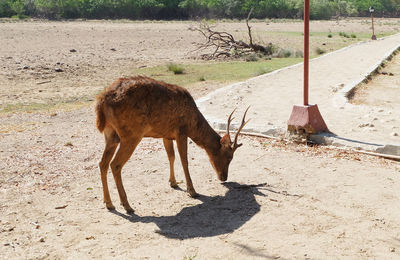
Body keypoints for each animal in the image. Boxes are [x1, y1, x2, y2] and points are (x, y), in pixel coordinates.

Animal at [95, 75, 248, 213]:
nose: (224, 177)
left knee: (102, 163)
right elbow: (184, 160)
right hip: (131, 134)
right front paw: (192, 191)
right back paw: (127, 205)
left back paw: (109, 203)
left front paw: (173, 182)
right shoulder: (181, 131)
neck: (193, 125)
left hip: (111, 134)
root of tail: (101, 101)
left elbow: (171, 156)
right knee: (115, 164)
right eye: (229, 157)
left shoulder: (166, 134)